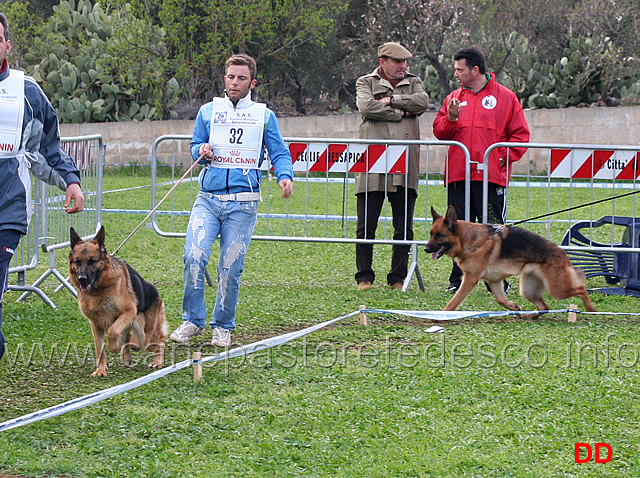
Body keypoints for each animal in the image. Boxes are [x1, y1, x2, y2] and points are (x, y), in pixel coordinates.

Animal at [69, 227, 168, 378]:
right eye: (77, 261)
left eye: (92, 261)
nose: (82, 279)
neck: (98, 291)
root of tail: (156, 293)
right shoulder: (95, 324)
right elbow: (99, 349)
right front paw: (101, 370)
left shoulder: (129, 311)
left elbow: (112, 331)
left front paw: (113, 347)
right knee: (129, 340)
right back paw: (127, 356)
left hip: (145, 334)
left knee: (160, 342)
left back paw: (157, 361)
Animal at [424, 204, 596, 314]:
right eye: (431, 234)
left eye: (439, 235)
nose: (426, 249)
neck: (472, 241)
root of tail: (561, 252)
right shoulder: (494, 280)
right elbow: (500, 299)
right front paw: (513, 307)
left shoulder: (470, 279)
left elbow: (454, 301)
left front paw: (442, 315)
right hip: (528, 290)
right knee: (544, 307)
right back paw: (529, 316)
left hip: (557, 289)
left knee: (581, 288)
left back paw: (591, 309)